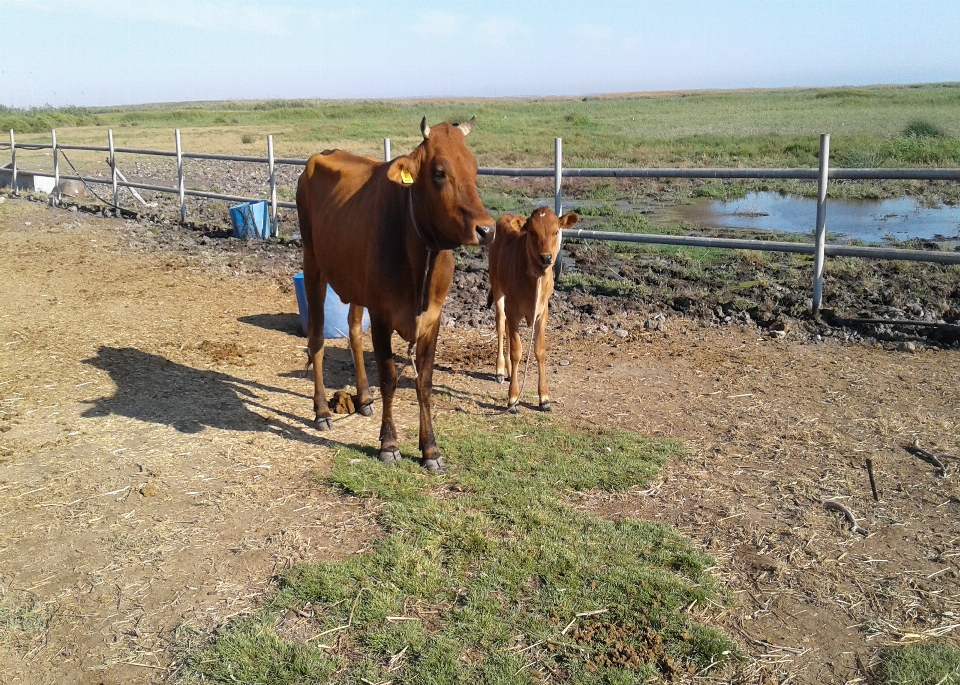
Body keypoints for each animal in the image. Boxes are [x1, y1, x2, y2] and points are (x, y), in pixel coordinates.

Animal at [296, 116, 496, 470]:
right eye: (439, 172)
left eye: (474, 169)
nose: (486, 229)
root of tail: (324, 153)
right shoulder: (381, 315)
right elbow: (389, 377)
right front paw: (388, 444)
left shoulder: (433, 318)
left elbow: (424, 382)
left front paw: (430, 450)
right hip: (313, 263)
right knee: (316, 338)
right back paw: (321, 411)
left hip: (355, 284)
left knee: (353, 332)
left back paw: (363, 399)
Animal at [488, 207, 576, 412]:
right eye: (532, 232)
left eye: (556, 231)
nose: (546, 257)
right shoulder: (513, 310)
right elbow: (516, 352)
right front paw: (513, 399)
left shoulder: (542, 313)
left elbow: (539, 351)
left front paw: (544, 398)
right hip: (497, 287)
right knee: (501, 325)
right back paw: (500, 370)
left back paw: (509, 371)